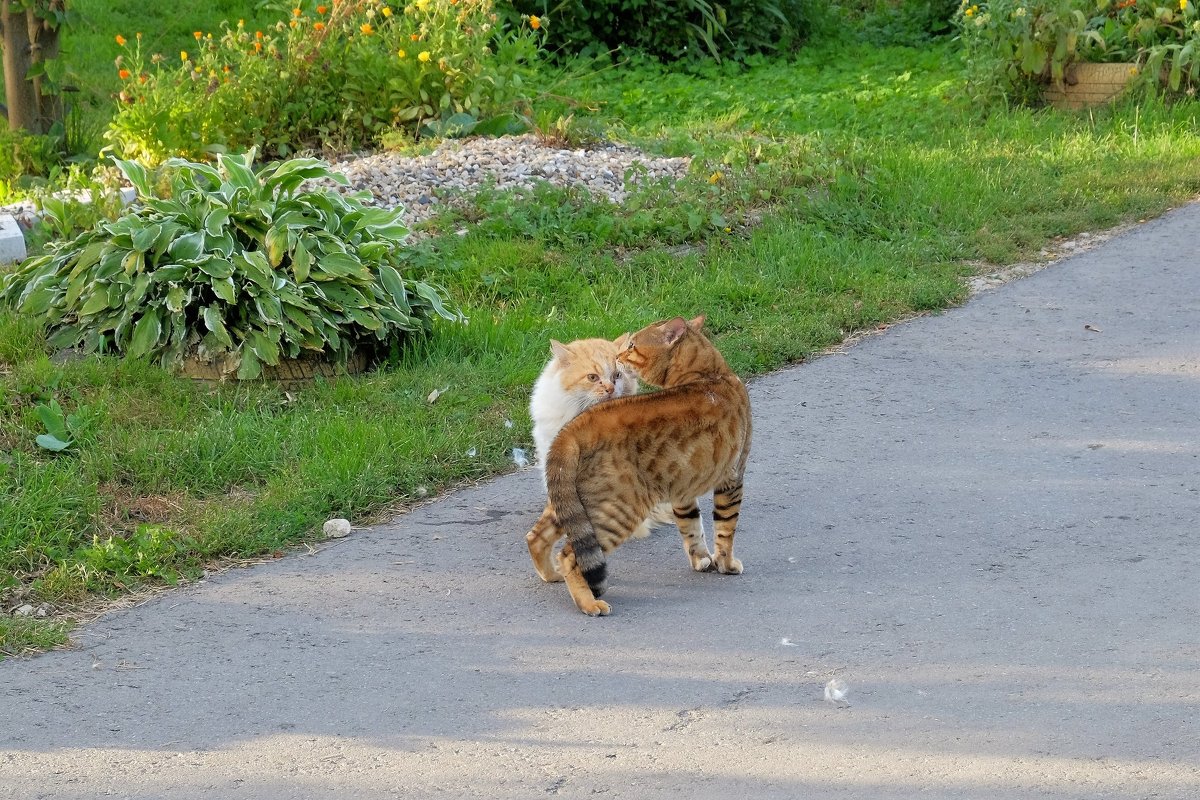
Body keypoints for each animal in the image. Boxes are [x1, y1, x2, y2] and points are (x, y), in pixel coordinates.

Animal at [544, 316, 748, 618]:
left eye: (631, 346)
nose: (616, 358)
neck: (710, 373)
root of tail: (577, 424)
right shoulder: (733, 478)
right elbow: (725, 529)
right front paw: (726, 564)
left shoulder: (682, 487)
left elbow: (692, 527)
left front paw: (701, 560)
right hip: (618, 510)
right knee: (569, 555)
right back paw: (589, 603)